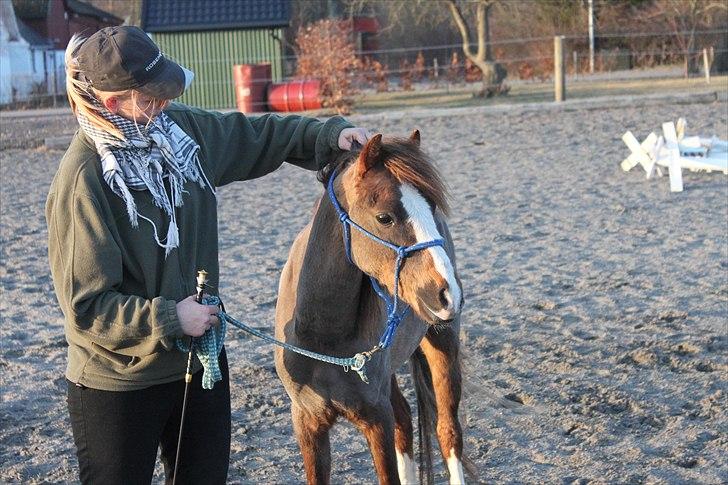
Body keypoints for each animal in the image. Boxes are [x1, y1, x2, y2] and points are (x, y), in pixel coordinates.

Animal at [274, 131, 469, 485]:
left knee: (448, 432)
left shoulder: (376, 420)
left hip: (443, 345)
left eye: (431, 208)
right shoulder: (308, 423)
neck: (323, 335)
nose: (449, 294)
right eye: (384, 217)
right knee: (405, 421)